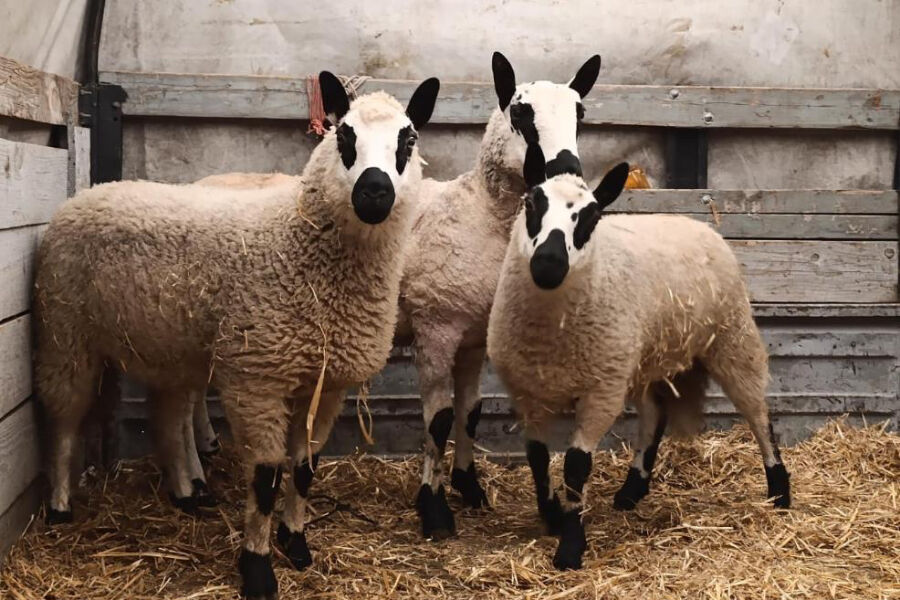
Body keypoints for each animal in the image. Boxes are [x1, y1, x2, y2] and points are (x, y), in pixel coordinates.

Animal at [34, 72, 440, 600]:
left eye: (408, 140)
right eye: (344, 136)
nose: (374, 191)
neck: (300, 244)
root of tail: (89, 193)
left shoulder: (326, 384)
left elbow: (304, 469)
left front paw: (296, 543)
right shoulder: (257, 378)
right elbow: (265, 478)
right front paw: (258, 567)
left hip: (167, 346)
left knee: (168, 418)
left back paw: (187, 493)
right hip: (64, 331)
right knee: (64, 417)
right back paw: (60, 506)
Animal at [398, 52, 604, 540]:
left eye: (580, 113)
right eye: (520, 112)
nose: (566, 172)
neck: (482, 213)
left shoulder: (474, 335)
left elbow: (469, 412)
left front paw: (469, 487)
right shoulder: (435, 326)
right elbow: (437, 420)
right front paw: (434, 511)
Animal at [486, 145, 791, 570]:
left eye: (592, 216)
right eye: (531, 202)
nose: (548, 264)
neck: (551, 333)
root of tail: (693, 222)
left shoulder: (601, 391)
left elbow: (575, 466)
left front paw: (570, 546)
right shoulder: (527, 392)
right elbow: (537, 458)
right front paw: (551, 517)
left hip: (732, 337)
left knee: (758, 413)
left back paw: (779, 490)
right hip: (644, 357)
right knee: (654, 415)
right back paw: (632, 490)